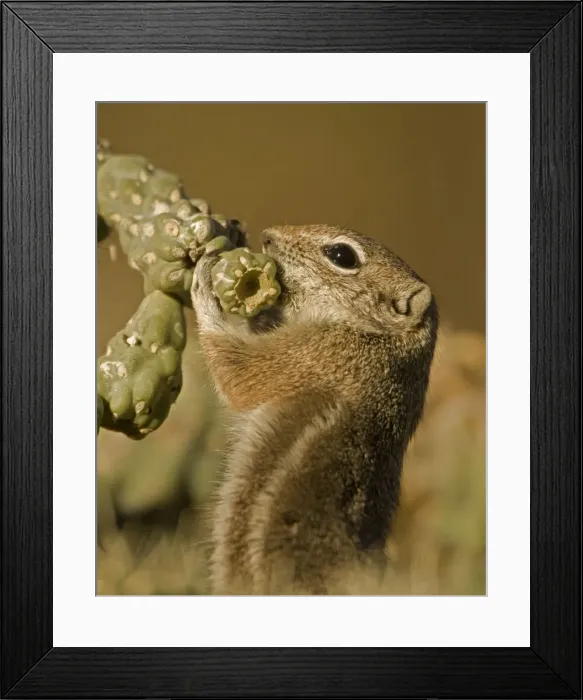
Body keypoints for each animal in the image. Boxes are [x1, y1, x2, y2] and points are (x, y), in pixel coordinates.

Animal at [190, 224, 438, 594]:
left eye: (342, 255)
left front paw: (203, 280)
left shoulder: (317, 354)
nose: (267, 236)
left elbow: (240, 376)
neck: (381, 339)